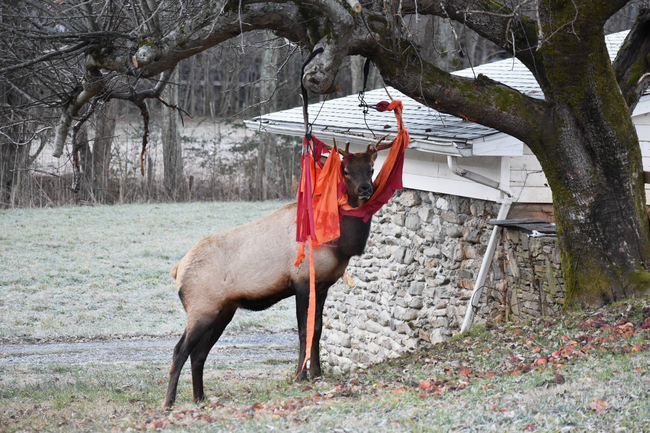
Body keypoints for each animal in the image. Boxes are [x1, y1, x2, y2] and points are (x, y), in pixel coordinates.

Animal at [163, 142, 384, 408]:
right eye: (346, 171)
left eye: (371, 169)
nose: (365, 189)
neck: (338, 244)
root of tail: (177, 269)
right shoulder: (301, 281)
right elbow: (304, 331)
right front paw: (300, 376)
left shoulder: (322, 286)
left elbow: (317, 329)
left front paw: (317, 373)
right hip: (202, 309)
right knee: (180, 350)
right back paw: (169, 402)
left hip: (223, 311)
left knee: (199, 353)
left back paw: (200, 398)